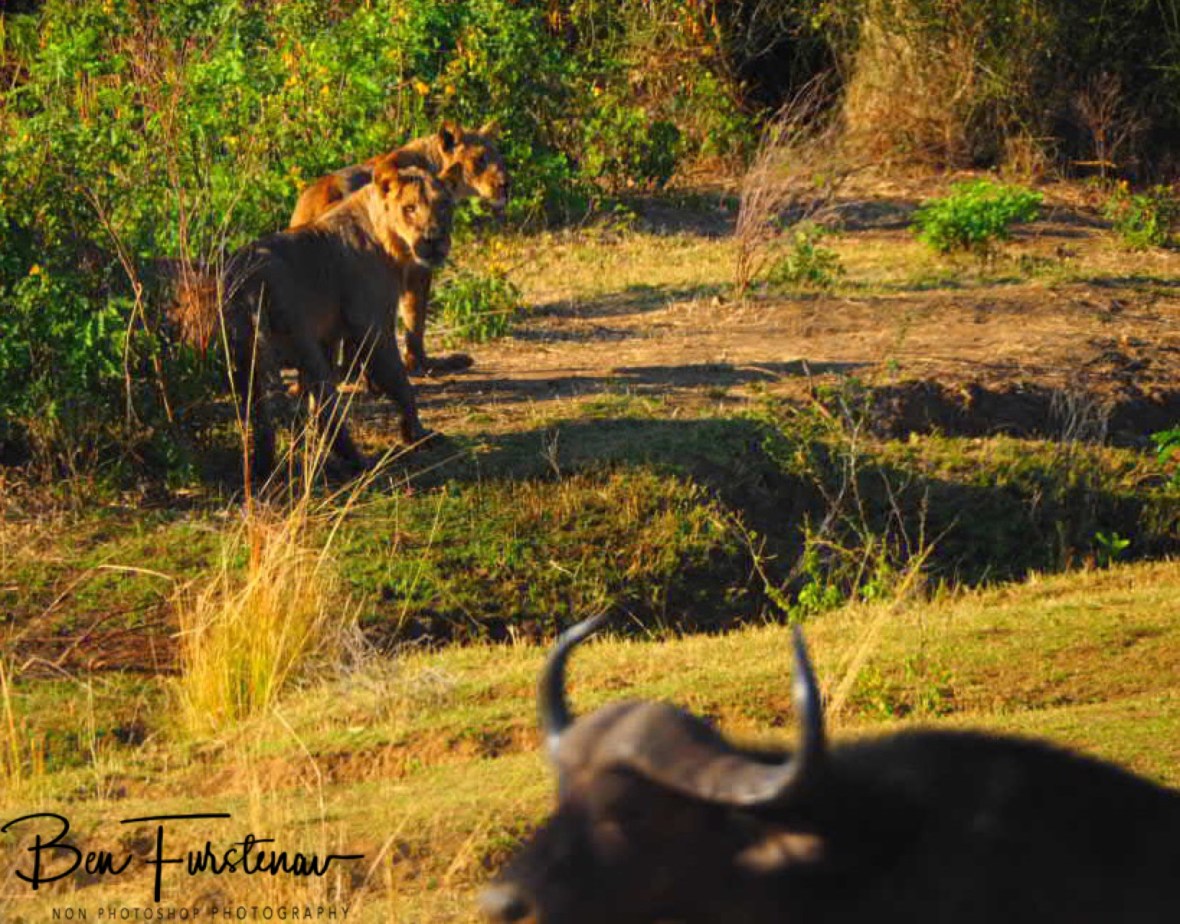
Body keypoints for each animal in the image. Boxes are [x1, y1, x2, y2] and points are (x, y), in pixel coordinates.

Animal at [223, 156, 462, 478]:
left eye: (444, 207)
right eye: (410, 208)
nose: (434, 240)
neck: (390, 242)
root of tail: (251, 280)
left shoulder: (330, 335)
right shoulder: (371, 324)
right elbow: (400, 382)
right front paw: (417, 435)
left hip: (245, 357)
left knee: (260, 415)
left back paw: (263, 469)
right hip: (302, 344)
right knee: (327, 407)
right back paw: (360, 463)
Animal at [289, 120, 509, 376]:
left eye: (498, 157)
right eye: (480, 159)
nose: (506, 186)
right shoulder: (417, 266)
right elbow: (415, 317)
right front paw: (420, 363)